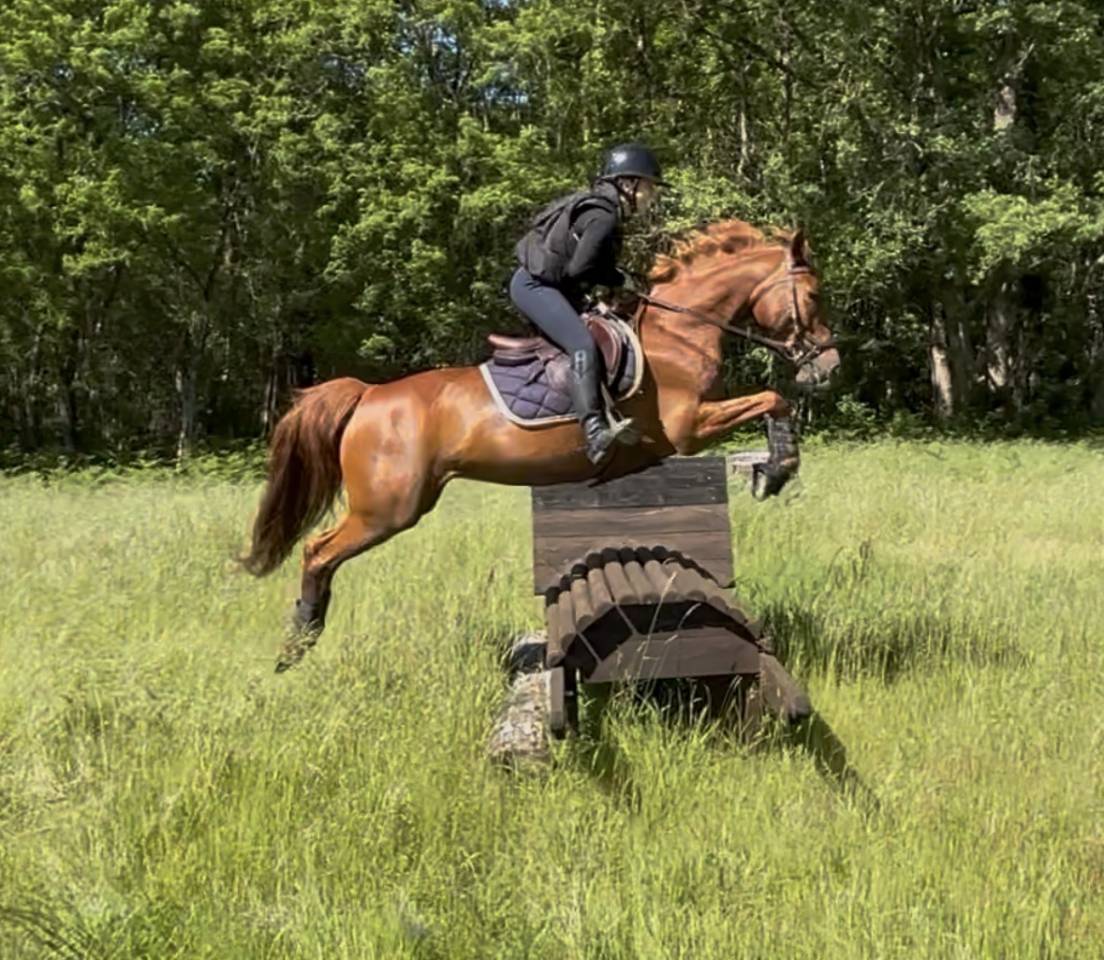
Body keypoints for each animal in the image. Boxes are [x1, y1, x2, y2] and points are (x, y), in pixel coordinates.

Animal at [241, 220, 840, 670]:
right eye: (813, 295)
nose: (829, 366)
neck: (678, 336)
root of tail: (369, 394)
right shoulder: (688, 427)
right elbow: (773, 399)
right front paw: (776, 469)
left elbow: (774, 402)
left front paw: (770, 468)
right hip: (387, 507)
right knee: (318, 550)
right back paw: (300, 640)